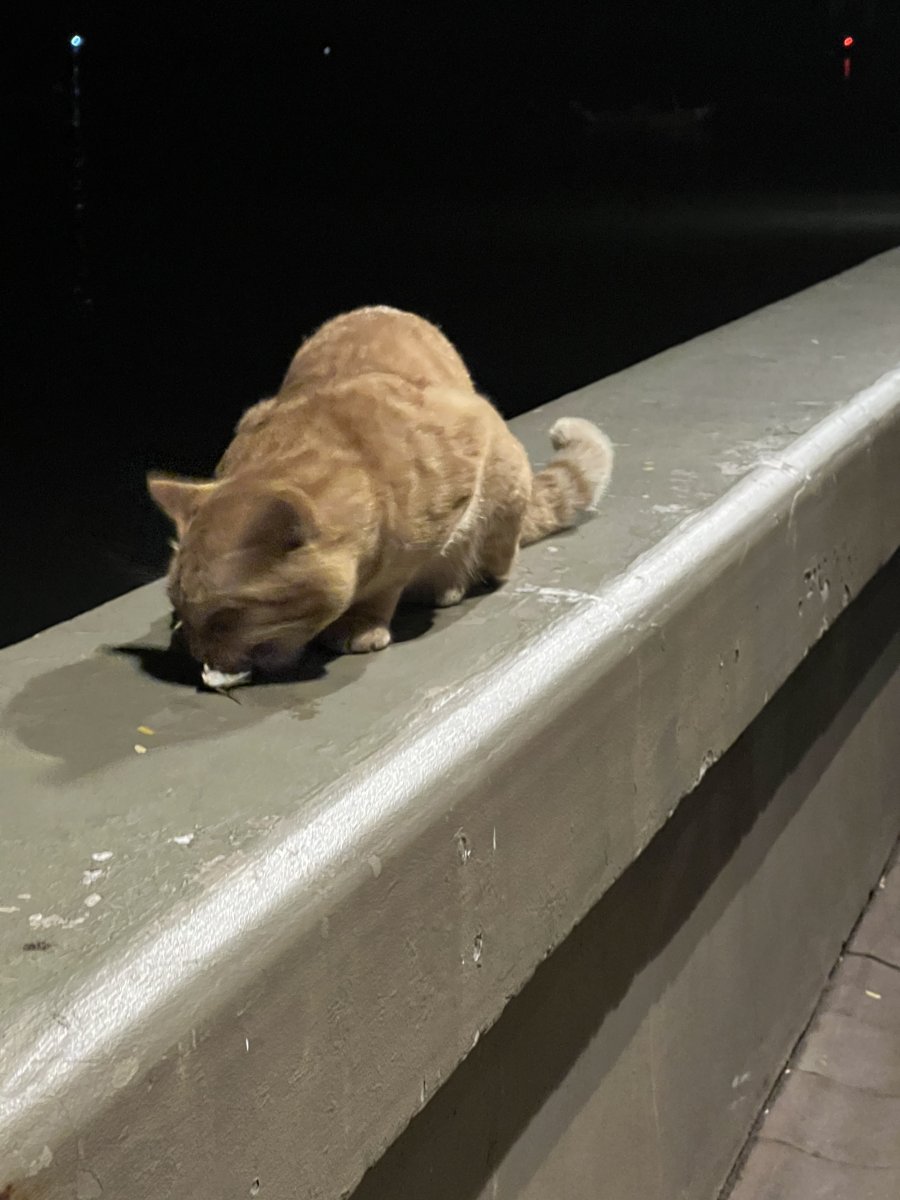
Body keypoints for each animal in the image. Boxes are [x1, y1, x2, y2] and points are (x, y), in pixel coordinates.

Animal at [148, 306, 613, 686]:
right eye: (182, 608)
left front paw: (363, 620)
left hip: (505, 489)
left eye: (225, 618)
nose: (198, 655)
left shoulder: (461, 464)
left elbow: (388, 581)